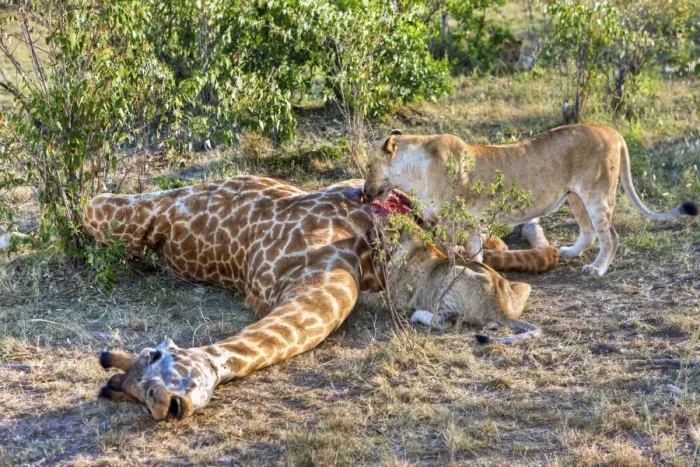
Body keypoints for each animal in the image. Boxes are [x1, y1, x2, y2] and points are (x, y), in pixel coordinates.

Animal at [86, 177, 548, 420]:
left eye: (152, 380)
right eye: (147, 393)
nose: (172, 404)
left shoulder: (330, 280)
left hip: (148, 206)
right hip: (135, 207)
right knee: (96, 203)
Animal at [364, 125, 698, 276]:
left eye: (368, 167)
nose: (364, 193)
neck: (414, 170)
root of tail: (614, 131)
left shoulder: (452, 220)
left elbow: (453, 252)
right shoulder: (466, 221)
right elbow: (475, 253)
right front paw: (479, 273)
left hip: (597, 194)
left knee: (611, 237)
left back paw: (597, 269)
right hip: (574, 196)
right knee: (589, 232)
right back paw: (566, 252)